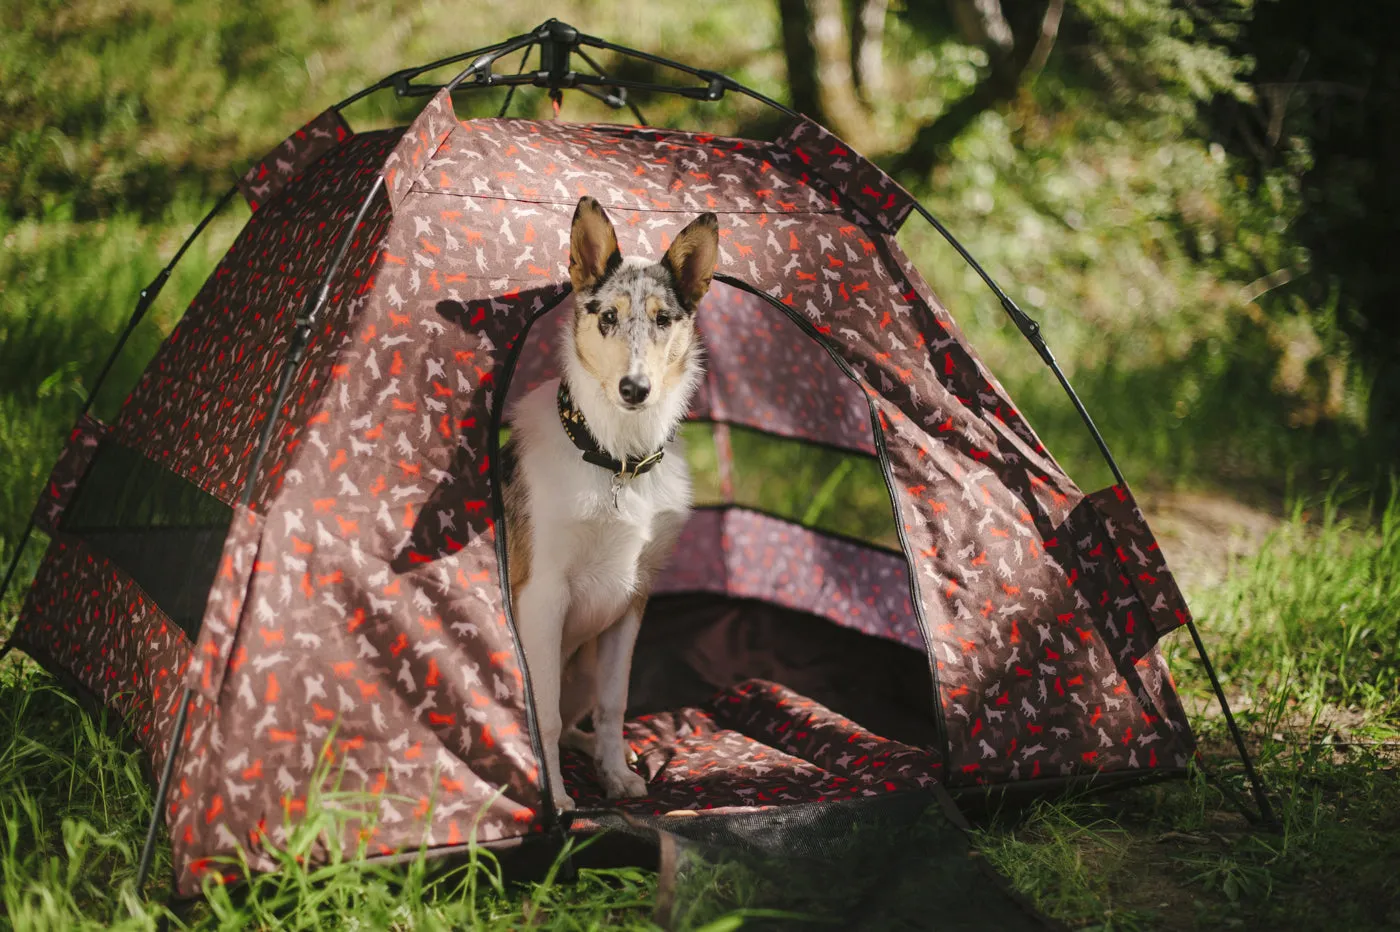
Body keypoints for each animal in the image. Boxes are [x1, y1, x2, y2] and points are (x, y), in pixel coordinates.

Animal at [501, 195, 716, 806]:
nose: (634, 389)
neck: (616, 458)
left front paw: (617, 774)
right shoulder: (542, 593)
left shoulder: (632, 598)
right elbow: (542, 715)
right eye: (608, 318)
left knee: (584, 716)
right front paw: (555, 800)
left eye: (664, 320)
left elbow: (614, 704)